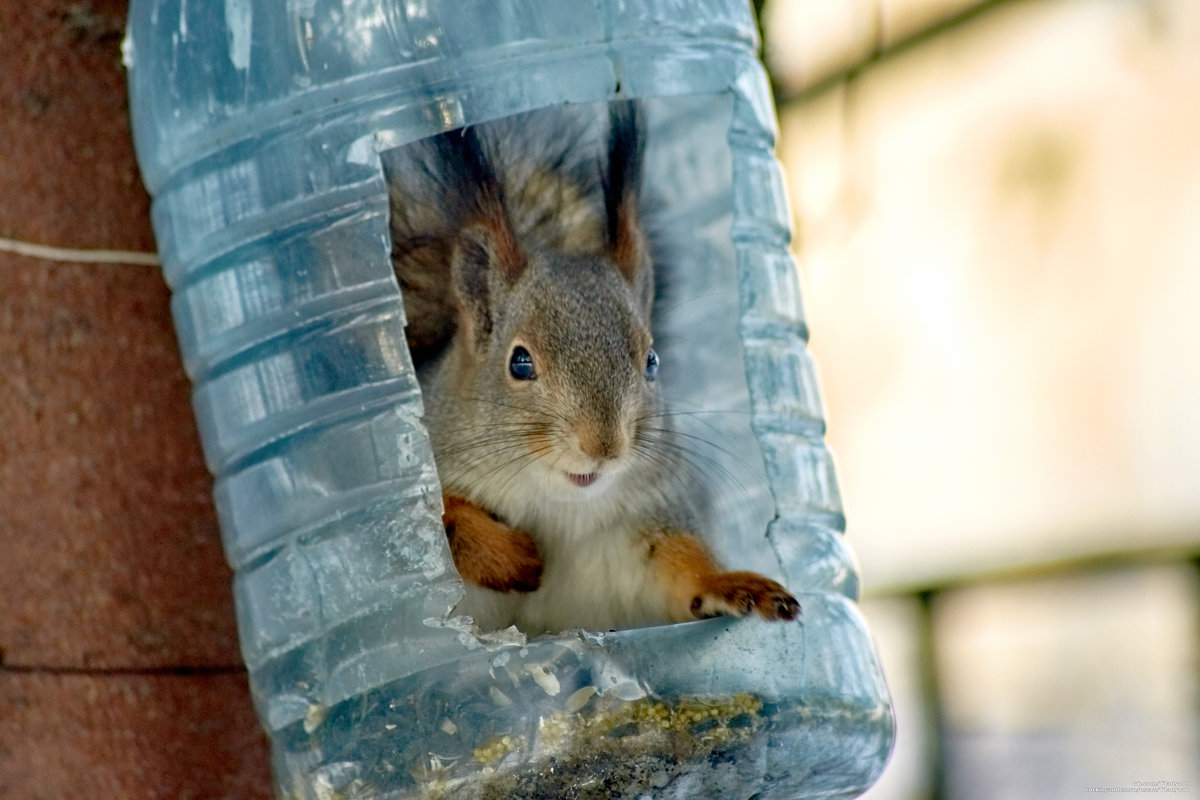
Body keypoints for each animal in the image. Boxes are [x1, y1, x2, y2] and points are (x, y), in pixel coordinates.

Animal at [384, 101, 796, 638]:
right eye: (519, 362)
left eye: (652, 362)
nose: (603, 447)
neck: (558, 506)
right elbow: (443, 522)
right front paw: (507, 557)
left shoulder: (650, 520)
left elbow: (682, 567)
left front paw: (733, 584)